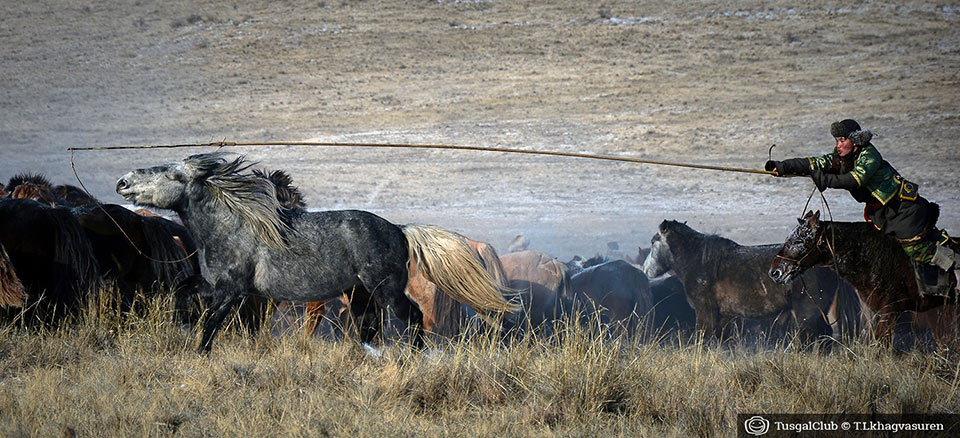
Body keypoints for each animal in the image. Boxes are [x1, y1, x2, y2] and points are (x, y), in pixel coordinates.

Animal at [116, 153, 518, 351]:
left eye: (172, 174)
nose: (123, 182)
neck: (235, 227)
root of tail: (399, 229)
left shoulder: (231, 291)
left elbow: (212, 325)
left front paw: (199, 354)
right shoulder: (214, 285)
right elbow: (184, 293)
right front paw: (181, 323)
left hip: (386, 289)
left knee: (412, 317)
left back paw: (417, 357)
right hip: (360, 294)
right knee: (370, 328)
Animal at [642, 220, 840, 344]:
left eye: (653, 242)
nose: (645, 270)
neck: (697, 259)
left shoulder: (705, 311)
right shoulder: (723, 316)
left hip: (807, 311)